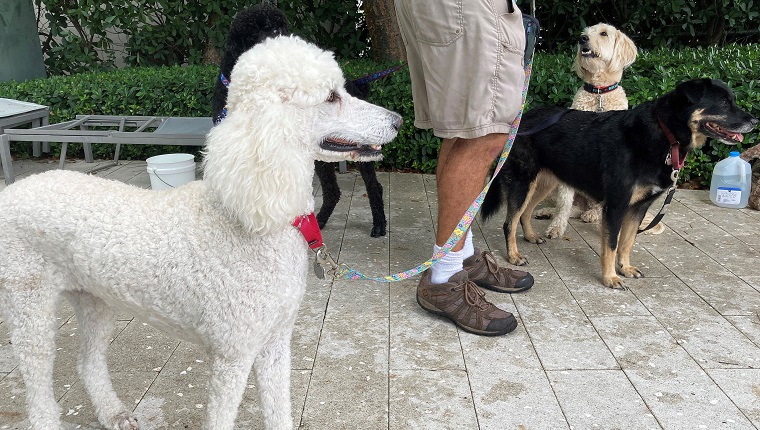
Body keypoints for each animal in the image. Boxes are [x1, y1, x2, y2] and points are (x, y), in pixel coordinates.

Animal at [484, 79, 756, 290]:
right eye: (724, 103)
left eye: (732, 100)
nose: (754, 121)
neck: (664, 135)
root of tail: (522, 119)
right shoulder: (616, 205)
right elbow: (612, 245)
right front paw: (610, 278)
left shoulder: (639, 207)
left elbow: (627, 242)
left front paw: (625, 268)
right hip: (523, 182)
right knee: (510, 221)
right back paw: (513, 255)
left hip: (544, 183)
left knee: (525, 212)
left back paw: (530, 237)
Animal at [536, 22, 664, 235]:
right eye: (584, 33)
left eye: (604, 33)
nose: (582, 39)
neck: (599, 94)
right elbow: (564, 200)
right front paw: (557, 226)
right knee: (573, 207)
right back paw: (549, 212)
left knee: (593, 209)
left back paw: (592, 215)